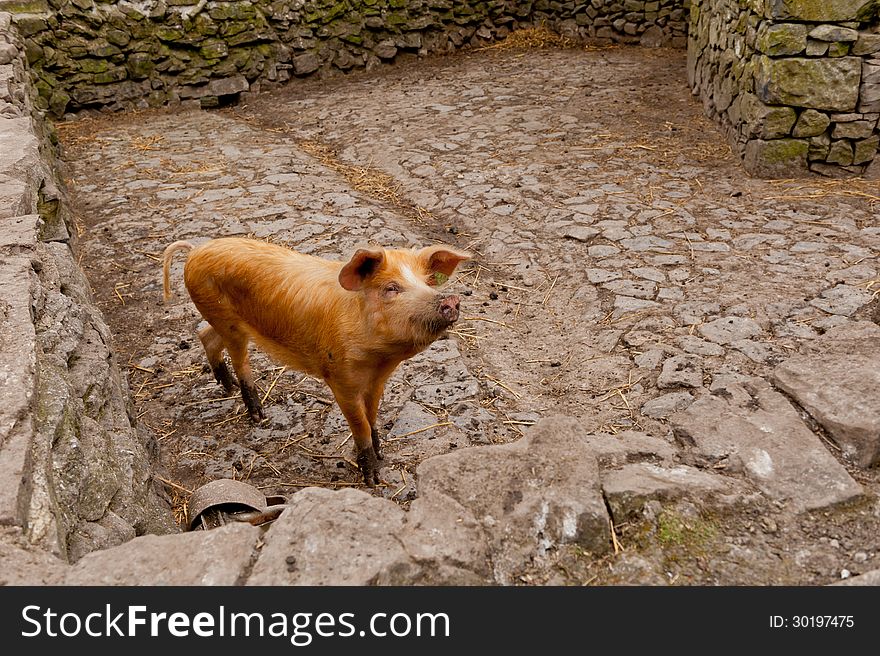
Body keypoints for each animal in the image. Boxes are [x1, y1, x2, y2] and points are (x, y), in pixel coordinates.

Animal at [162, 238, 470, 484]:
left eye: (428, 282)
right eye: (391, 288)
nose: (450, 300)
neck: (379, 359)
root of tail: (196, 250)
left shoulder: (377, 381)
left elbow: (372, 417)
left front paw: (382, 453)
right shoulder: (340, 379)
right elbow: (359, 424)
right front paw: (372, 479)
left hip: (224, 321)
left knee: (205, 335)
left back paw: (227, 388)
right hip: (228, 322)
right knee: (240, 361)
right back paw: (258, 415)